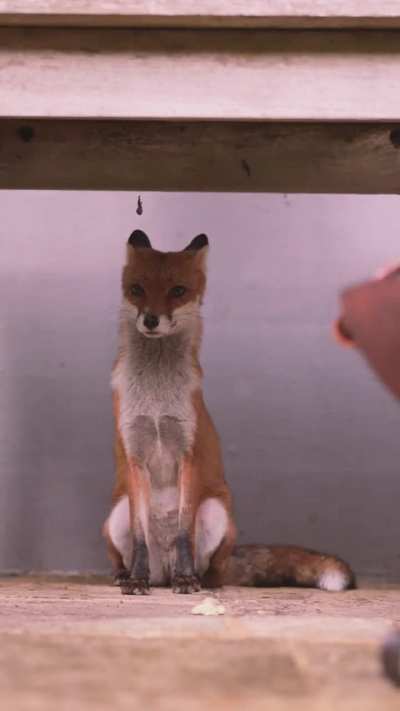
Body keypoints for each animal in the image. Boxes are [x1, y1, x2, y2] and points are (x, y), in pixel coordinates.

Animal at [103, 230, 355, 595]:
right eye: (137, 289)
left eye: (177, 291)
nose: (150, 320)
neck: (157, 397)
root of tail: (162, 572)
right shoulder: (135, 454)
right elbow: (139, 537)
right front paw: (136, 580)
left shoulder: (189, 454)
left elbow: (184, 532)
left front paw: (187, 580)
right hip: (116, 515)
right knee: (132, 552)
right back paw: (128, 575)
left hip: (216, 512)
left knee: (212, 568)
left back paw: (199, 580)